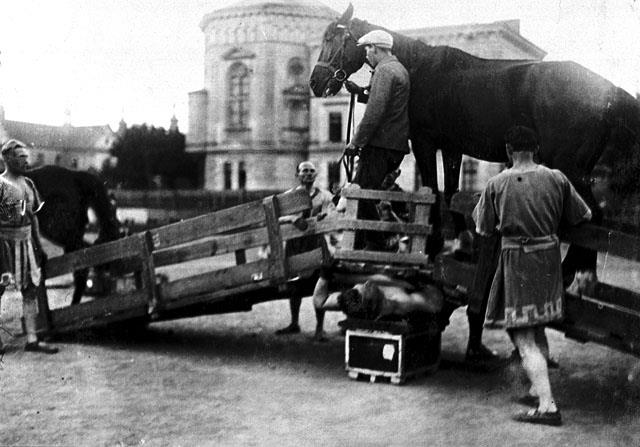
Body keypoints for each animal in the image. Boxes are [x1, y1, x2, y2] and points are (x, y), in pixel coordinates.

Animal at [310, 4, 640, 280]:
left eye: (334, 38)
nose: (315, 82)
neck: (419, 69)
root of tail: (608, 90)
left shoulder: (425, 143)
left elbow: (435, 190)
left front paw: (434, 246)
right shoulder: (452, 148)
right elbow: (451, 191)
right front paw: (461, 245)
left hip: (570, 167)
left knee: (594, 217)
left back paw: (575, 272)